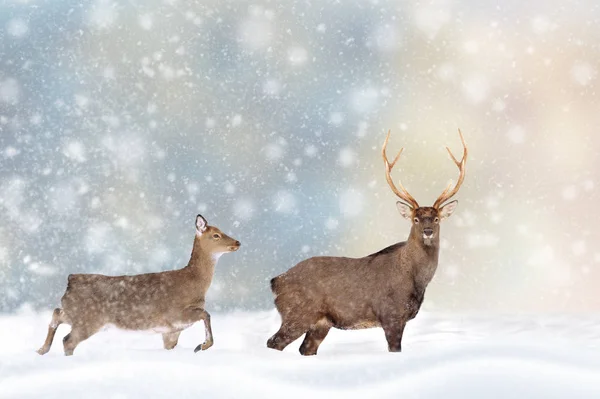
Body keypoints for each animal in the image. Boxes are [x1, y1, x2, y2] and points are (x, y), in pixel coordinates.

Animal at [36, 216, 239, 356]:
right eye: (216, 235)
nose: (237, 242)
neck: (195, 283)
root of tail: (71, 280)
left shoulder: (171, 331)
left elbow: (171, 345)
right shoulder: (175, 314)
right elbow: (206, 314)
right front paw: (201, 346)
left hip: (76, 314)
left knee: (57, 313)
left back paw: (41, 349)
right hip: (89, 319)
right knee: (68, 340)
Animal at [268, 130, 468, 354]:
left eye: (436, 219)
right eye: (415, 219)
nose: (428, 232)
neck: (415, 279)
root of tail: (276, 281)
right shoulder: (391, 314)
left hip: (321, 323)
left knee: (305, 349)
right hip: (298, 313)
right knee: (274, 342)